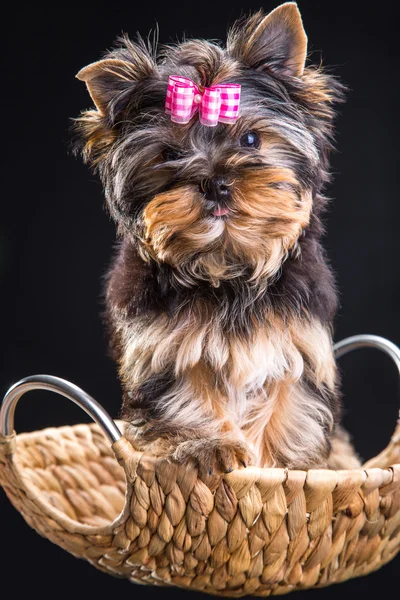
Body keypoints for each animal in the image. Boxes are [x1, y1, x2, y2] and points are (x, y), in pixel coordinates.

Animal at [75, 2, 360, 476]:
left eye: (251, 139)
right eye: (169, 154)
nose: (215, 182)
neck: (228, 266)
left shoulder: (297, 343)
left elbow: (289, 407)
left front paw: (279, 468)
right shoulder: (163, 347)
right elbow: (189, 395)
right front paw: (213, 447)